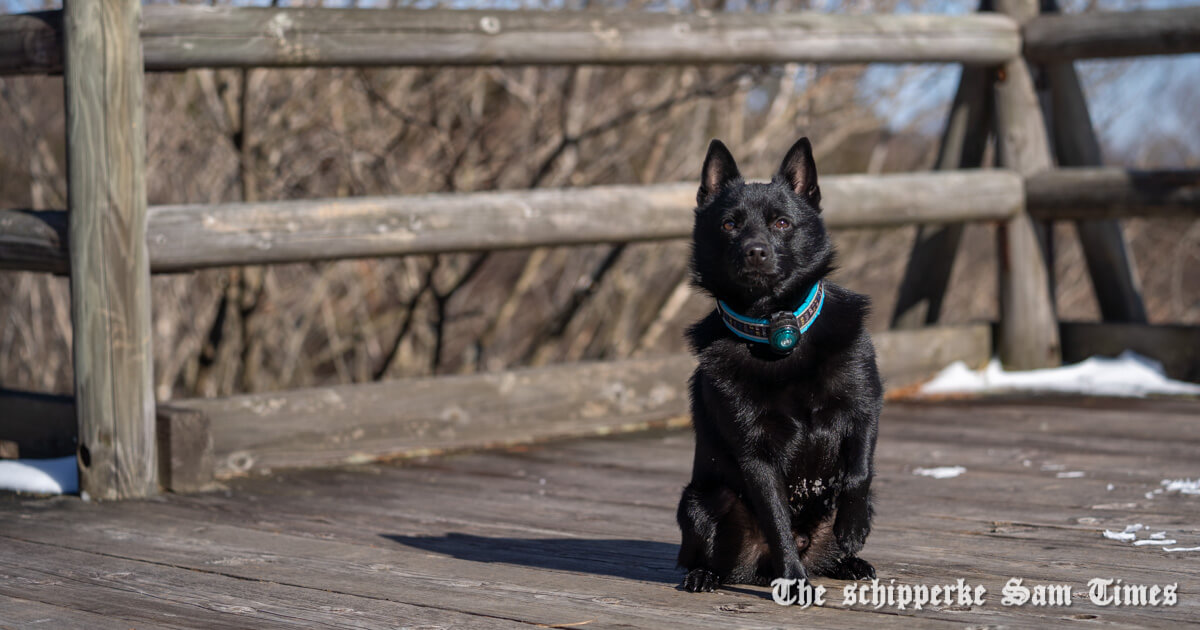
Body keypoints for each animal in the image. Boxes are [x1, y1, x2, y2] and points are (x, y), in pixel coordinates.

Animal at [676, 136, 883, 590]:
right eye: (729, 225)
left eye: (783, 223)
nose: (755, 251)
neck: (777, 329)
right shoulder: (756, 454)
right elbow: (777, 519)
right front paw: (796, 581)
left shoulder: (864, 409)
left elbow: (858, 473)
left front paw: (852, 527)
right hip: (701, 500)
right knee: (702, 555)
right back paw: (705, 575)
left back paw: (849, 562)